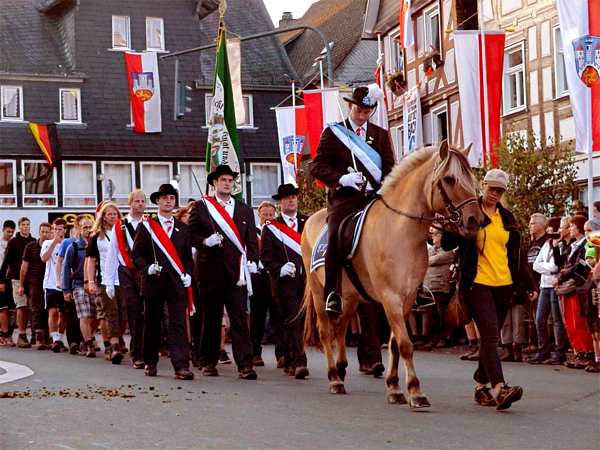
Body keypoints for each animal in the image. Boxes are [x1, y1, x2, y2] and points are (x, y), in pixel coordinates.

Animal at [300, 142, 482, 408]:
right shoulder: (390, 298)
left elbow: (396, 344)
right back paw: (334, 378)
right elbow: (405, 344)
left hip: (350, 296)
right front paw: (415, 391)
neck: (400, 231)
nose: (475, 220)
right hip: (318, 292)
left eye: (472, 178)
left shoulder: (407, 299)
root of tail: (311, 218)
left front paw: (394, 387)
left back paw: (342, 369)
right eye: (449, 179)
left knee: (341, 327)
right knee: (326, 331)